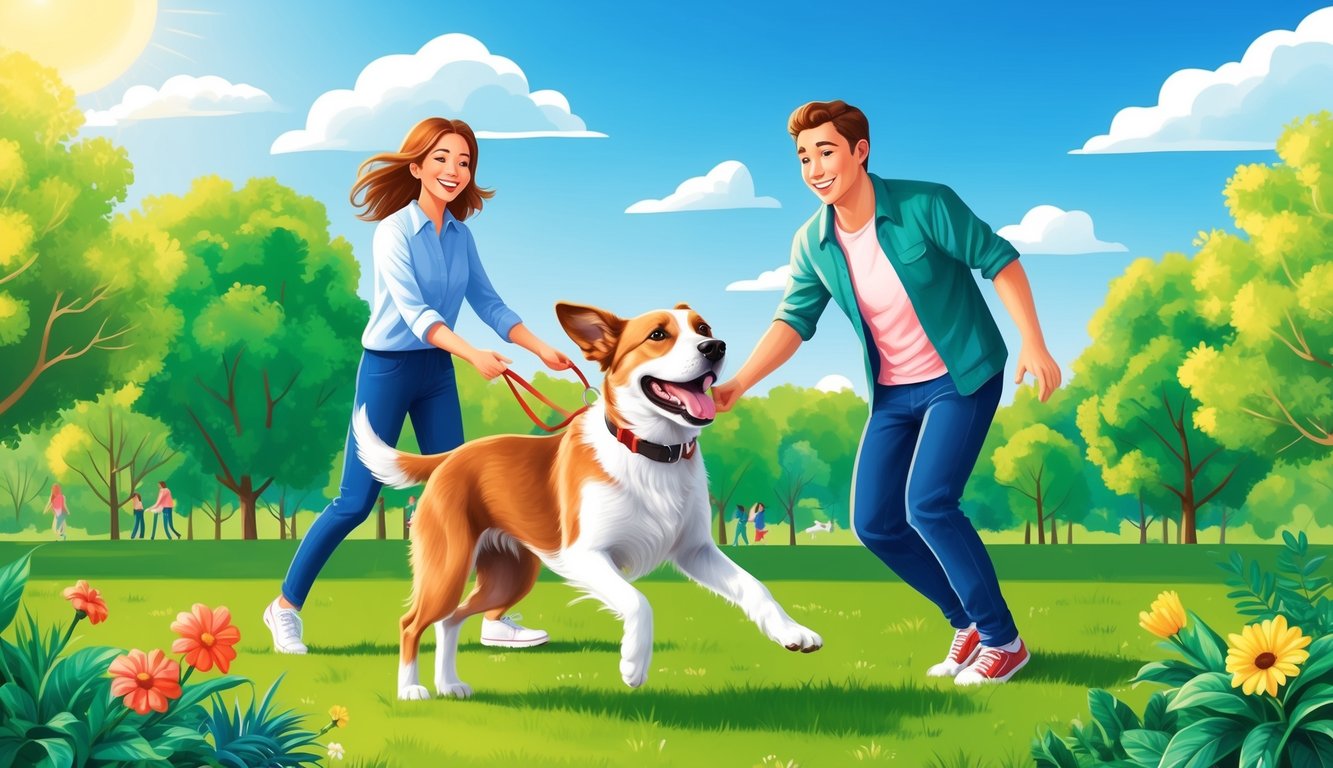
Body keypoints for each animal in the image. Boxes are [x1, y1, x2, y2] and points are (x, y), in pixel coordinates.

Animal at [351, 301, 821, 704]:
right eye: (658, 335)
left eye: (703, 329)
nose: (716, 347)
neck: (651, 452)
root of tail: (450, 456)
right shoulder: (586, 554)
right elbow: (638, 601)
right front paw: (634, 664)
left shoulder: (695, 550)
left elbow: (755, 587)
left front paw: (792, 632)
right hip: (449, 566)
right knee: (412, 623)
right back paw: (411, 690)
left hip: (510, 575)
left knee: (452, 619)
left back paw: (450, 684)